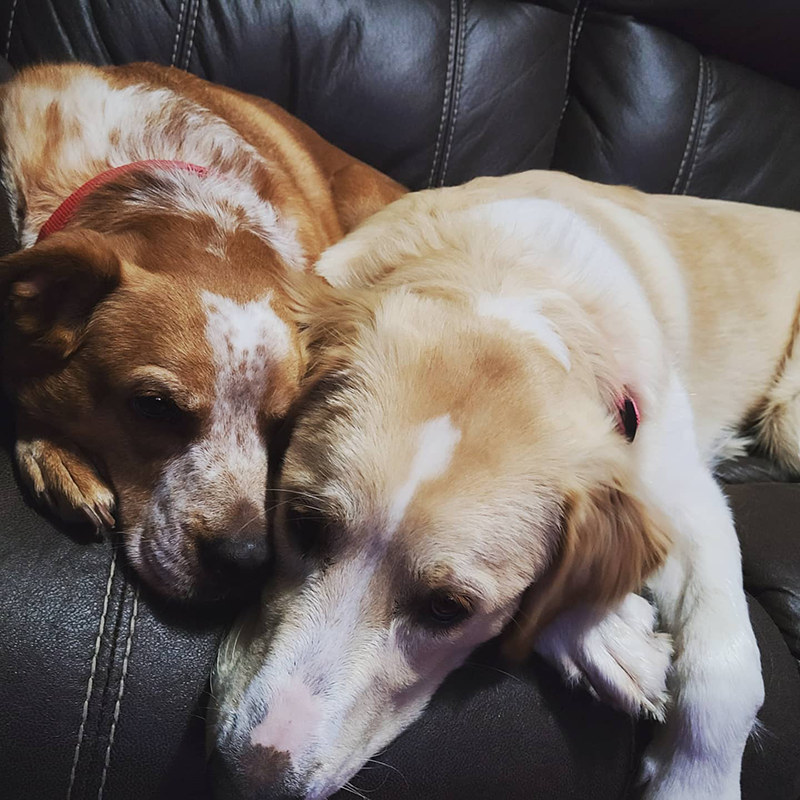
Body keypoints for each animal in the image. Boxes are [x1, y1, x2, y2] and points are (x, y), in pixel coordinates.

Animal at [206, 170, 792, 800]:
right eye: (304, 524)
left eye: (447, 609)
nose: (250, 782)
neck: (501, 283)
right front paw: (614, 637)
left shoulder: (684, 492)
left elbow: (727, 670)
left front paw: (694, 781)